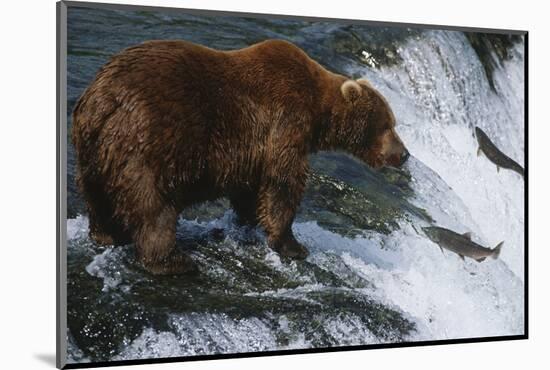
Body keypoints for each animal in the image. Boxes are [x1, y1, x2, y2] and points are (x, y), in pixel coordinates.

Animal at [71, 39, 410, 274]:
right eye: (388, 125)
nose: (405, 154)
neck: (318, 111)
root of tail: (103, 97)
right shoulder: (286, 121)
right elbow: (283, 183)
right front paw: (292, 244)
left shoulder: (252, 151)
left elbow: (251, 189)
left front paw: (248, 222)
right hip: (150, 142)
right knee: (153, 204)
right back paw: (173, 261)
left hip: (93, 149)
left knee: (96, 194)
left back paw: (106, 235)